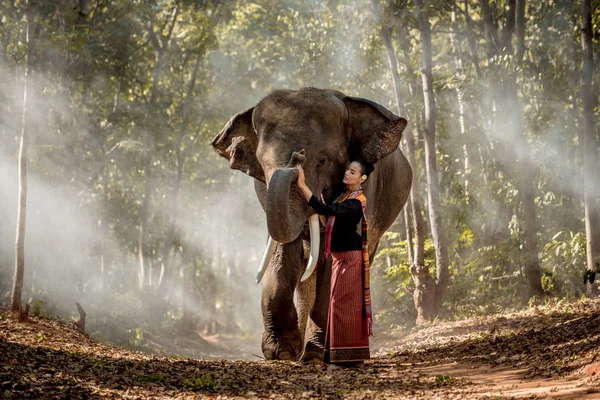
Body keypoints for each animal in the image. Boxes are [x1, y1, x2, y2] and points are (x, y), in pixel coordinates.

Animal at [211, 87, 412, 362]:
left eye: (322, 161)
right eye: (262, 164)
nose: (297, 155)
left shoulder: (366, 190)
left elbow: (334, 258)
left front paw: (316, 353)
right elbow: (282, 252)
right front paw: (282, 351)